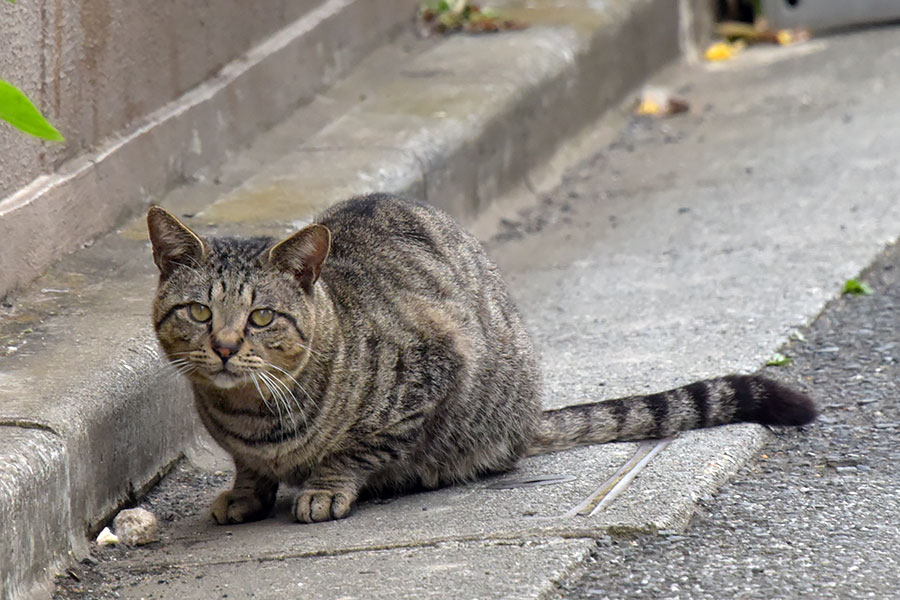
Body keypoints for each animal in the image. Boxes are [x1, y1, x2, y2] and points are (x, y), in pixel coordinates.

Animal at [148, 193, 816, 524]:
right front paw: (245, 493)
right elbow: (249, 468)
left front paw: (325, 487)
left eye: (262, 317)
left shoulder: (435, 363)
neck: (252, 415)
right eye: (199, 312)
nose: (224, 346)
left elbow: (356, 448)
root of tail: (528, 416)